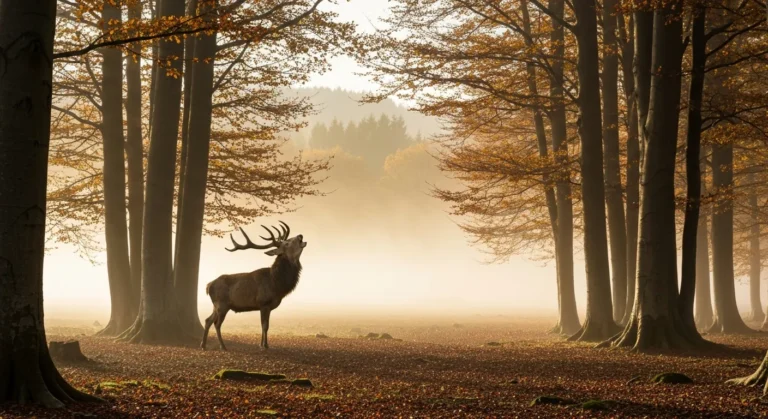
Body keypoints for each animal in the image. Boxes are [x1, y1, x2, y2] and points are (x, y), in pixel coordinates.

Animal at [201, 221, 307, 350]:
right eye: (287, 243)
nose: (300, 236)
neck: (276, 283)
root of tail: (208, 285)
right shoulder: (263, 302)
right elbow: (264, 325)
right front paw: (263, 346)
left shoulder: (268, 307)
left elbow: (267, 325)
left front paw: (264, 344)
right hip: (222, 304)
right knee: (217, 323)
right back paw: (223, 346)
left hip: (216, 305)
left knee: (208, 320)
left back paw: (203, 345)